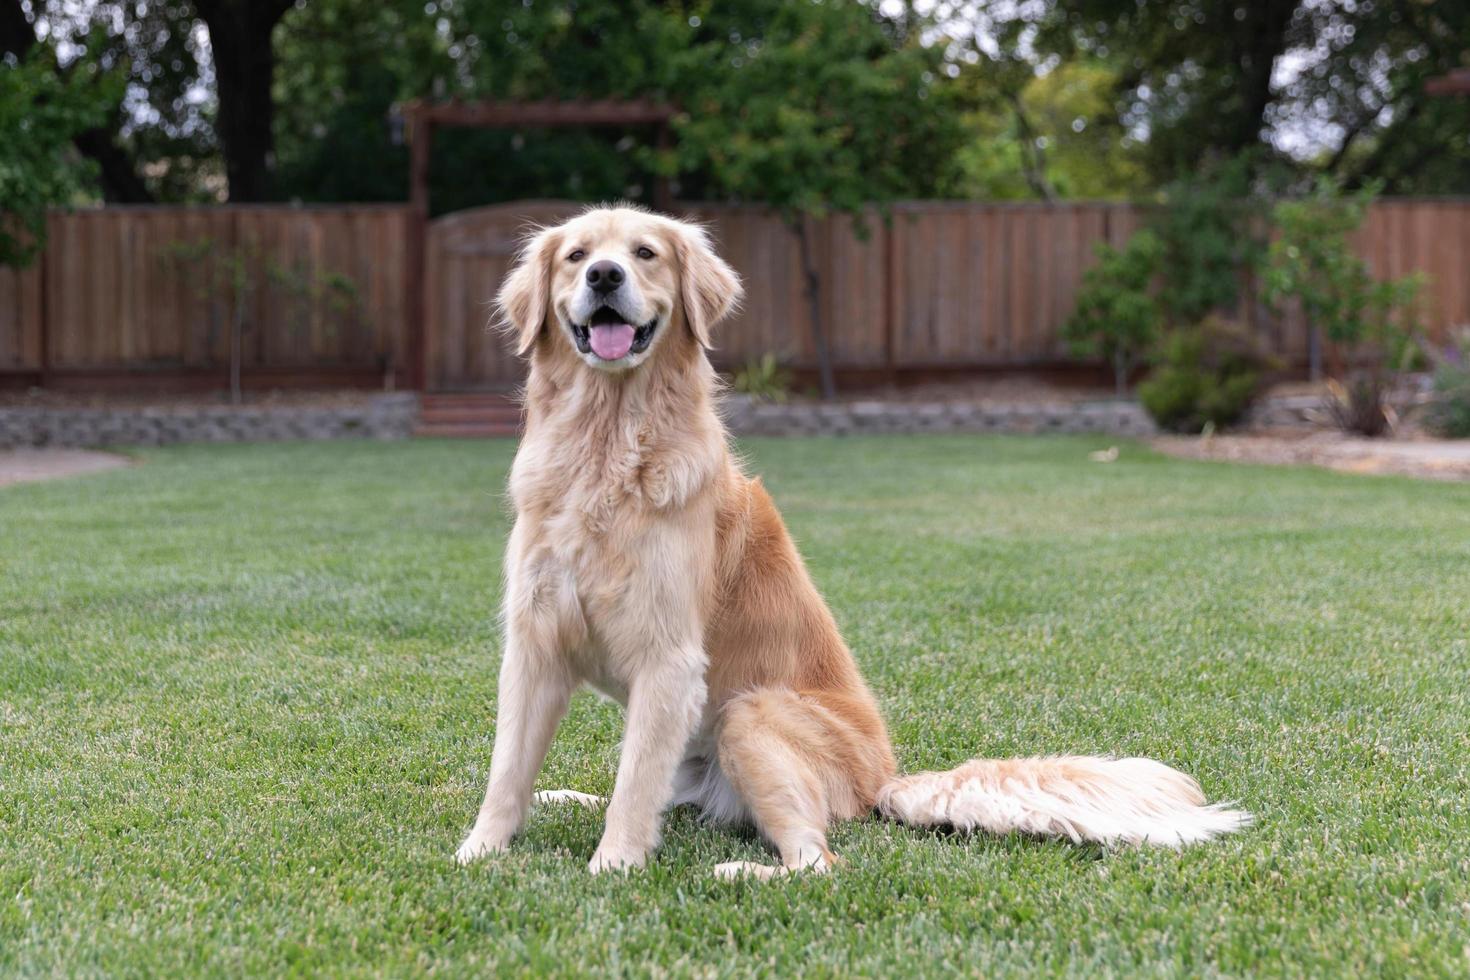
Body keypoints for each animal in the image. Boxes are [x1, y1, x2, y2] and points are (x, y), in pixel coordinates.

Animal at [452, 207, 1246, 881]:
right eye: (576, 255)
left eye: (645, 253)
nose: (604, 276)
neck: (607, 442)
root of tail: (883, 779)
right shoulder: (534, 642)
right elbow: (508, 770)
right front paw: (479, 851)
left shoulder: (667, 657)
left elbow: (632, 786)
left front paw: (612, 866)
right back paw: (571, 799)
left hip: (749, 713)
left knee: (814, 859)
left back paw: (739, 870)